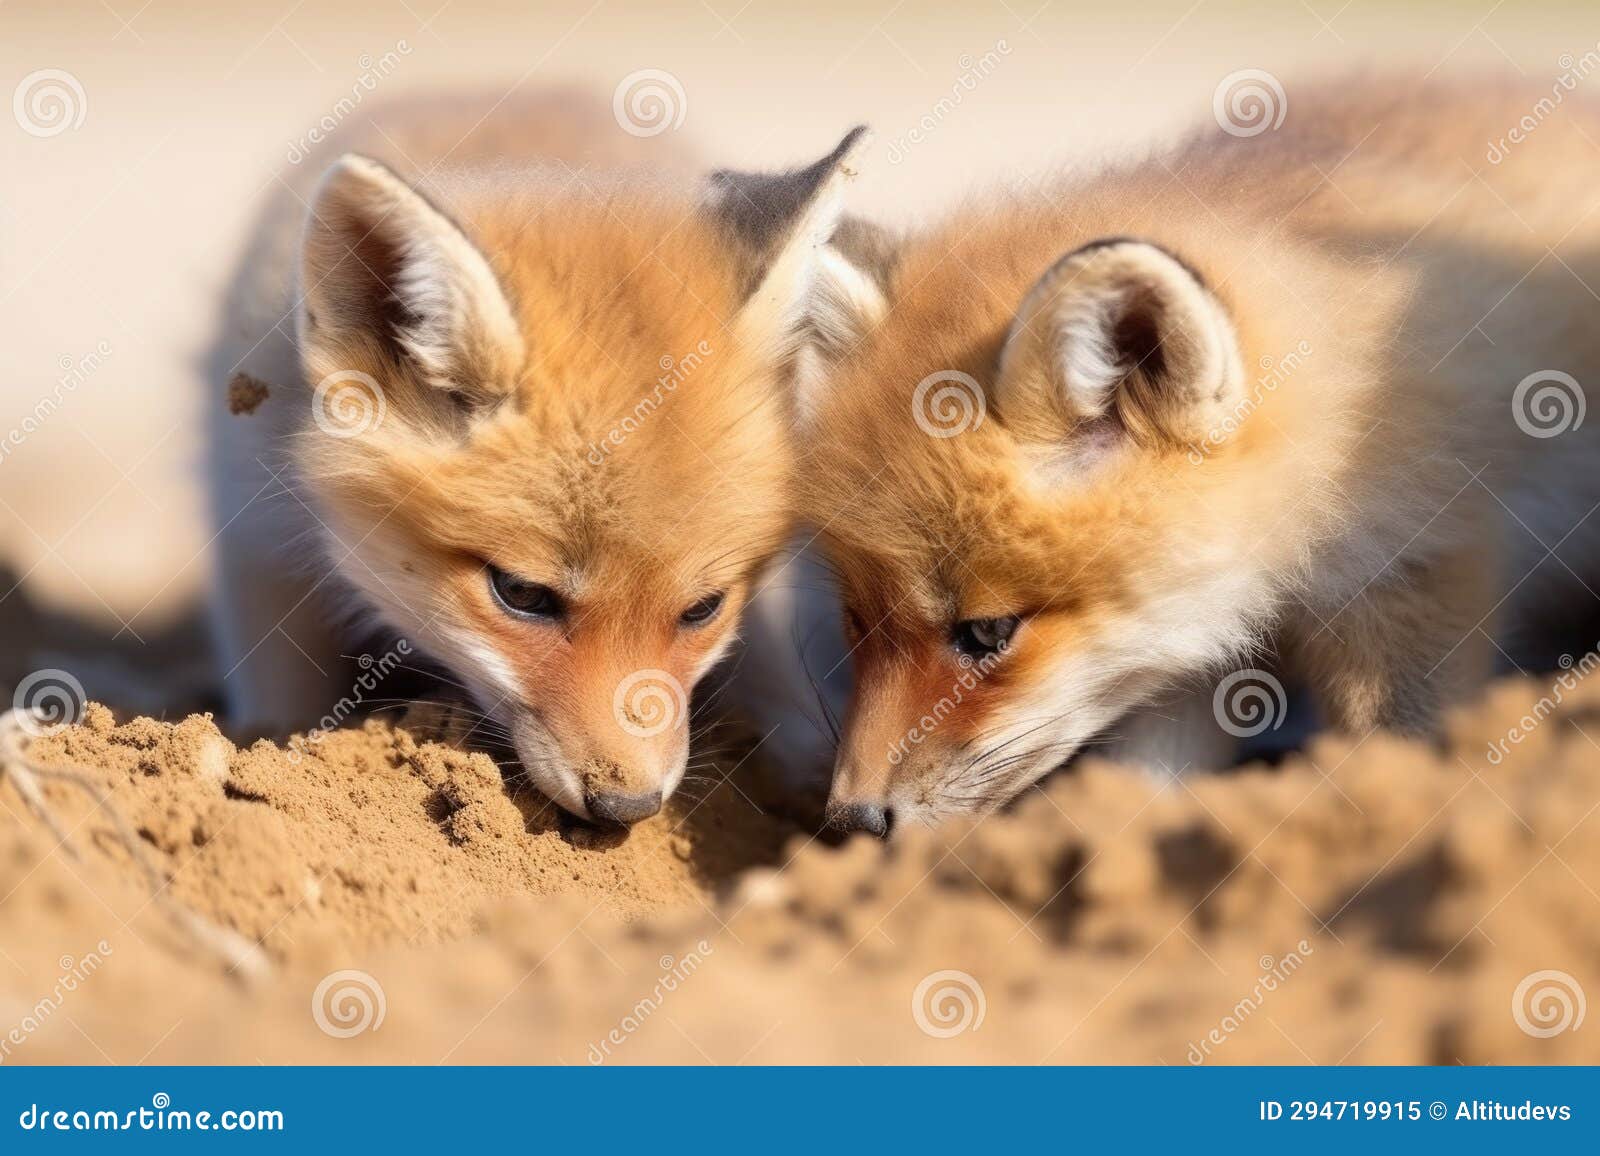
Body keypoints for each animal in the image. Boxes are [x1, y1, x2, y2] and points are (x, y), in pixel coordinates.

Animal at [206, 89, 879, 825]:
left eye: (704, 608)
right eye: (523, 594)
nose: (628, 807)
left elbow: (772, 665)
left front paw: (810, 768)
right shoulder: (251, 530)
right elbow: (279, 696)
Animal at [798, 77, 1600, 836]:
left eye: (987, 632)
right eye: (858, 621)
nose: (851, 821)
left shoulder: (1413, 570)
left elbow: (1395, 744)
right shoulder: (1177, 663)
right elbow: (1148, 788)